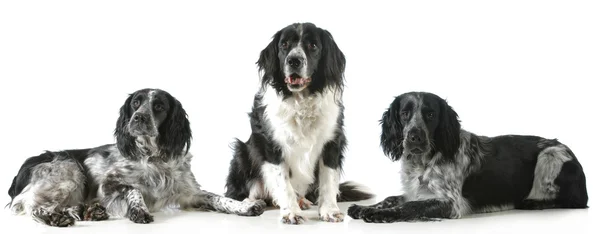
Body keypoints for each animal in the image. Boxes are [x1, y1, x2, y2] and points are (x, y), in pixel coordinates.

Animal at [7, 88, 264, 227]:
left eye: (159, 106)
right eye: (135, 103)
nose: (139, 117)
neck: (154, 158)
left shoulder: (190, 194)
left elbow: (219, 198)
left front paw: (245, 206)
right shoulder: (109, 183)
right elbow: (134, 189)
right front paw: (138, 210)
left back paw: (88, 212)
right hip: (69, 170)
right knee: (32, 206)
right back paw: (56, 217)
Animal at [225, 22, 372, 225]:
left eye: (313, 46)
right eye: (284, 44)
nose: (294, 60)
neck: (301, 101)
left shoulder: (332, 142)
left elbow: (328, 180)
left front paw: (329, 211)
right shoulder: (271, 145)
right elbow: (283, 181)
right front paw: (291, 213)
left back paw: (302, 201)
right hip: (242, 152)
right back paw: (249, 202)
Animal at [350, 91, 588, 223]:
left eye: (430, 114)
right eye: (404, 113)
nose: (415, 137)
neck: (423, 162)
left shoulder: (452, 203)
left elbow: (410, 207)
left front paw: (380, 215)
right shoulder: (415, 192)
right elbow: (392, 198)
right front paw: (365, 208)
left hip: (550, 155)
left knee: (573, 201)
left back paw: (533, 202)